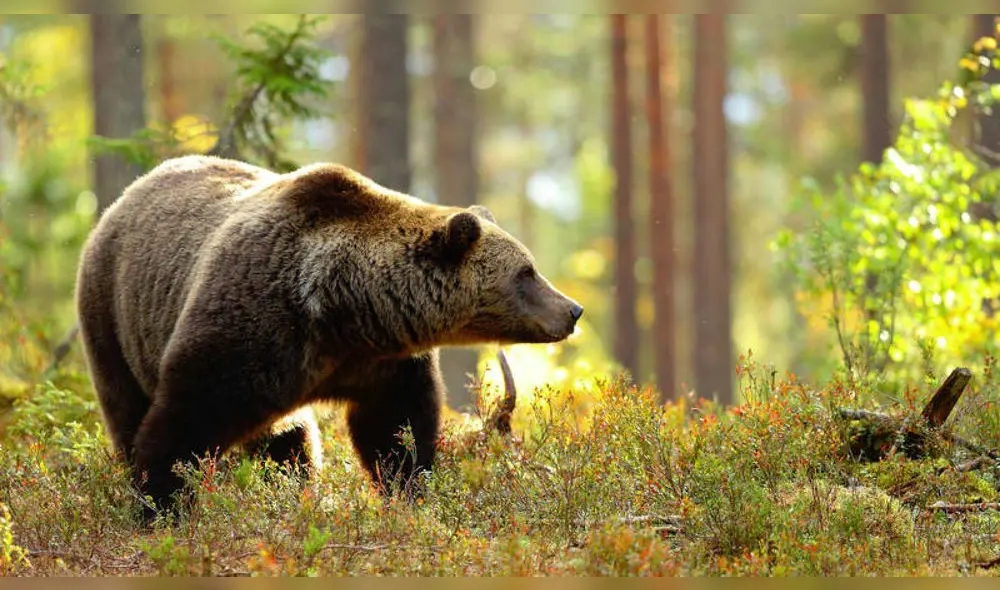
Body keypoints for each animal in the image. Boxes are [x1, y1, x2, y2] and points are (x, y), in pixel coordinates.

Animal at [74, 155, 583, 517]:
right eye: (525, 272)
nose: (572, 310)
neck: (342, 309)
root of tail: (122, 199)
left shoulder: (383, 363)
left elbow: (393, 430)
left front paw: (410, 491)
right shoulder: (249, 327)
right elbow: (186, 417)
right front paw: (160, 503)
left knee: (288, 439)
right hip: (112, 316)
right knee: (126, 404)